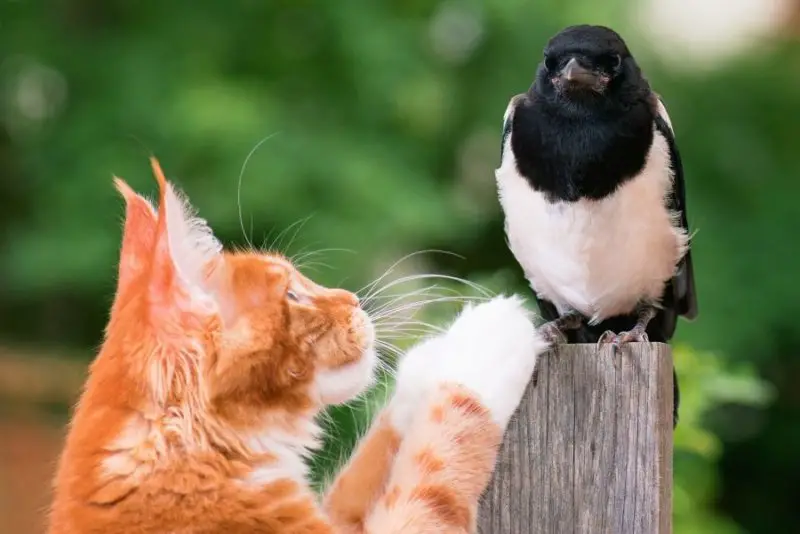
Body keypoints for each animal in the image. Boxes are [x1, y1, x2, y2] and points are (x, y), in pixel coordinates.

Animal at [47, 159, 552, 534]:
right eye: (292, 293)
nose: (352, 300)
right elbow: (435, 469)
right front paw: (484, 344)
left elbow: (369, 464)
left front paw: (431, 360)